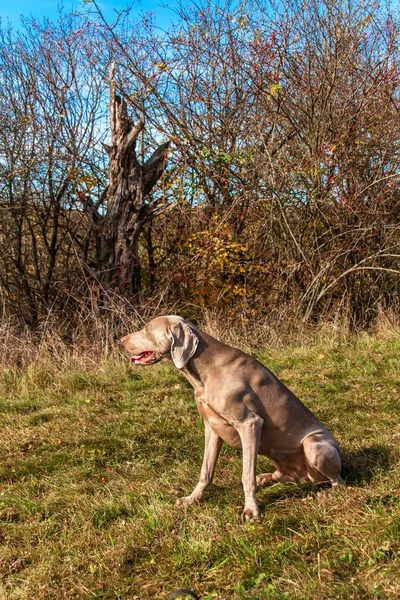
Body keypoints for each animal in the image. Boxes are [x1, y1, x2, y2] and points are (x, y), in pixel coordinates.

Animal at [122, 314, 344, 520]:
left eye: (147, 329)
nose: (122, 340)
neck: (204, 370)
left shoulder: (250, 424)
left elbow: (246, 475)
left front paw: (251, 510)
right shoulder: (211, 428)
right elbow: (205, 471)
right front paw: (192, 499)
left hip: (313, 444)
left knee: (338, 481)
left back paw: (328, 493)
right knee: (285, 475)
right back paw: (266, 477)